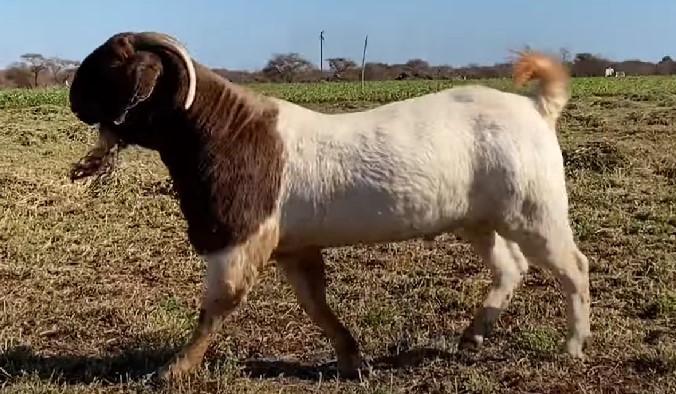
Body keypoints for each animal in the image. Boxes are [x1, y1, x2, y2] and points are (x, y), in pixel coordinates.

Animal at [66, 31, 588, 382]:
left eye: (111, 64)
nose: (73, 99)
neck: (225, 132)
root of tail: (537, 107)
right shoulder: (293, 249)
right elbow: (315, 304)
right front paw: (353, 360)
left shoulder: (241, 241)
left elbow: (220, 304)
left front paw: (171, 371)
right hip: (481, 219)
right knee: (511, 267)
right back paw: (470, 338)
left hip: (534, 211)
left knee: (573, 266)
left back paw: (573, 345)